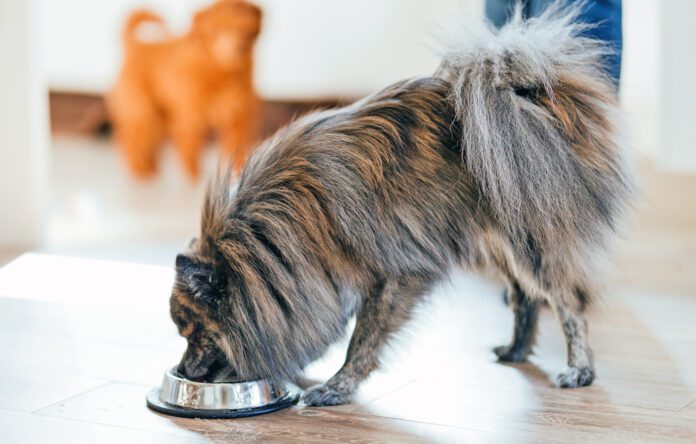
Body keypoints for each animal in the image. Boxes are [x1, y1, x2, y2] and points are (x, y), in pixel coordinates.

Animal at [109, 1, 260, 179]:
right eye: (218, 29)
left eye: (245, 29)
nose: (238, 48)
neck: (221, 71)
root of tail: (137, 46)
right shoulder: (190, 114)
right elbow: (191, 145)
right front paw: (193, 173)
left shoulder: (238, 117)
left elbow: (237, 145)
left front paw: (240, 172)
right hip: (144, 110)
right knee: (131, 139)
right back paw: (140, 169)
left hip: (159, 115)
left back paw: (151, 166)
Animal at [170, 5, 636, 406]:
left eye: (192, 332)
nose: (184, 371)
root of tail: (534, 95)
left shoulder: (395, 275)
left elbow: (362, 340)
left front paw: (337, 387)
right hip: (497, 243)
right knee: (525, 296)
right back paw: (516, 349)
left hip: (529, 243)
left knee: (568, 302)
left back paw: (579, 370)